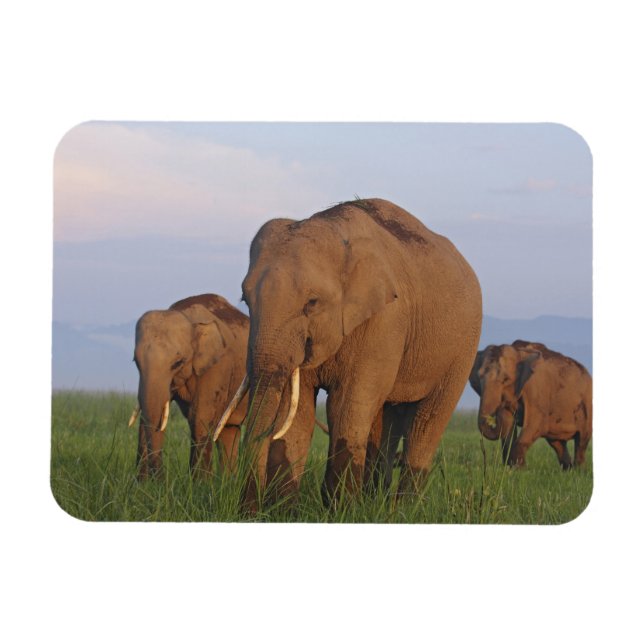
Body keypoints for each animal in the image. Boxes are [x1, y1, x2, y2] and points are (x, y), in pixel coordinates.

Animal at [128, 293, 250, 480]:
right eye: (136, 362)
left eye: (178, 363)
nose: (160, 479)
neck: (185, 316)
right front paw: (142, 484)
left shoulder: (218, 365)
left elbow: (199, 418)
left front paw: (200, 484)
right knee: (229, 430)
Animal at [215, 198, 482, 508]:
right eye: (245, 300)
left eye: (312, 303)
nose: (248, 511)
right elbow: (298, 411)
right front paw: (285, 511)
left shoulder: (385, 320)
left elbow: (345, 407)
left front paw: (339, 509)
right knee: (386, 419)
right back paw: (375, 504)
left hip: (463, 348)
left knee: (427, 422)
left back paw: (402, 510)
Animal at [469, 340, 592, 469]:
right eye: (479, 377)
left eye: (506, 379)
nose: (499, 408)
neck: (518, 352)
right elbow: (509, 429)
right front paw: (512, 468)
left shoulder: (537, 390)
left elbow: (535, 424)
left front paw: (519, 469)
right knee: (556, 443)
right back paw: (568, 469)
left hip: (587, 406)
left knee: (582, 441)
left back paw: (579, 470)